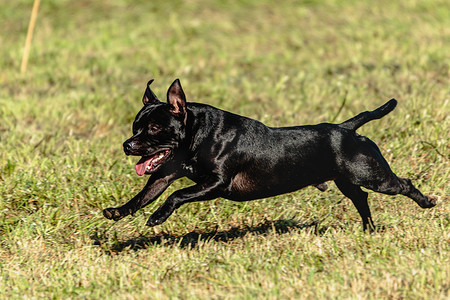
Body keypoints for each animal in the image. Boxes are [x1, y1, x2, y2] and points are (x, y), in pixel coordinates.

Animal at [103, 78, 436, 231]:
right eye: (135, 126)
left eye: (155, 128)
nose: (127, 145)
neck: (197, 134)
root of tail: (345, 128)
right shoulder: (163, 175)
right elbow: (143, 197)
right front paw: (118, 211)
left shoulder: (216, 184)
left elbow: (177, 195)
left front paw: (158, 217)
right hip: (348, 182)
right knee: (362, 200)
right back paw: (368, 230)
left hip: (373, 176)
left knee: (403, 183)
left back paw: (426, 202)